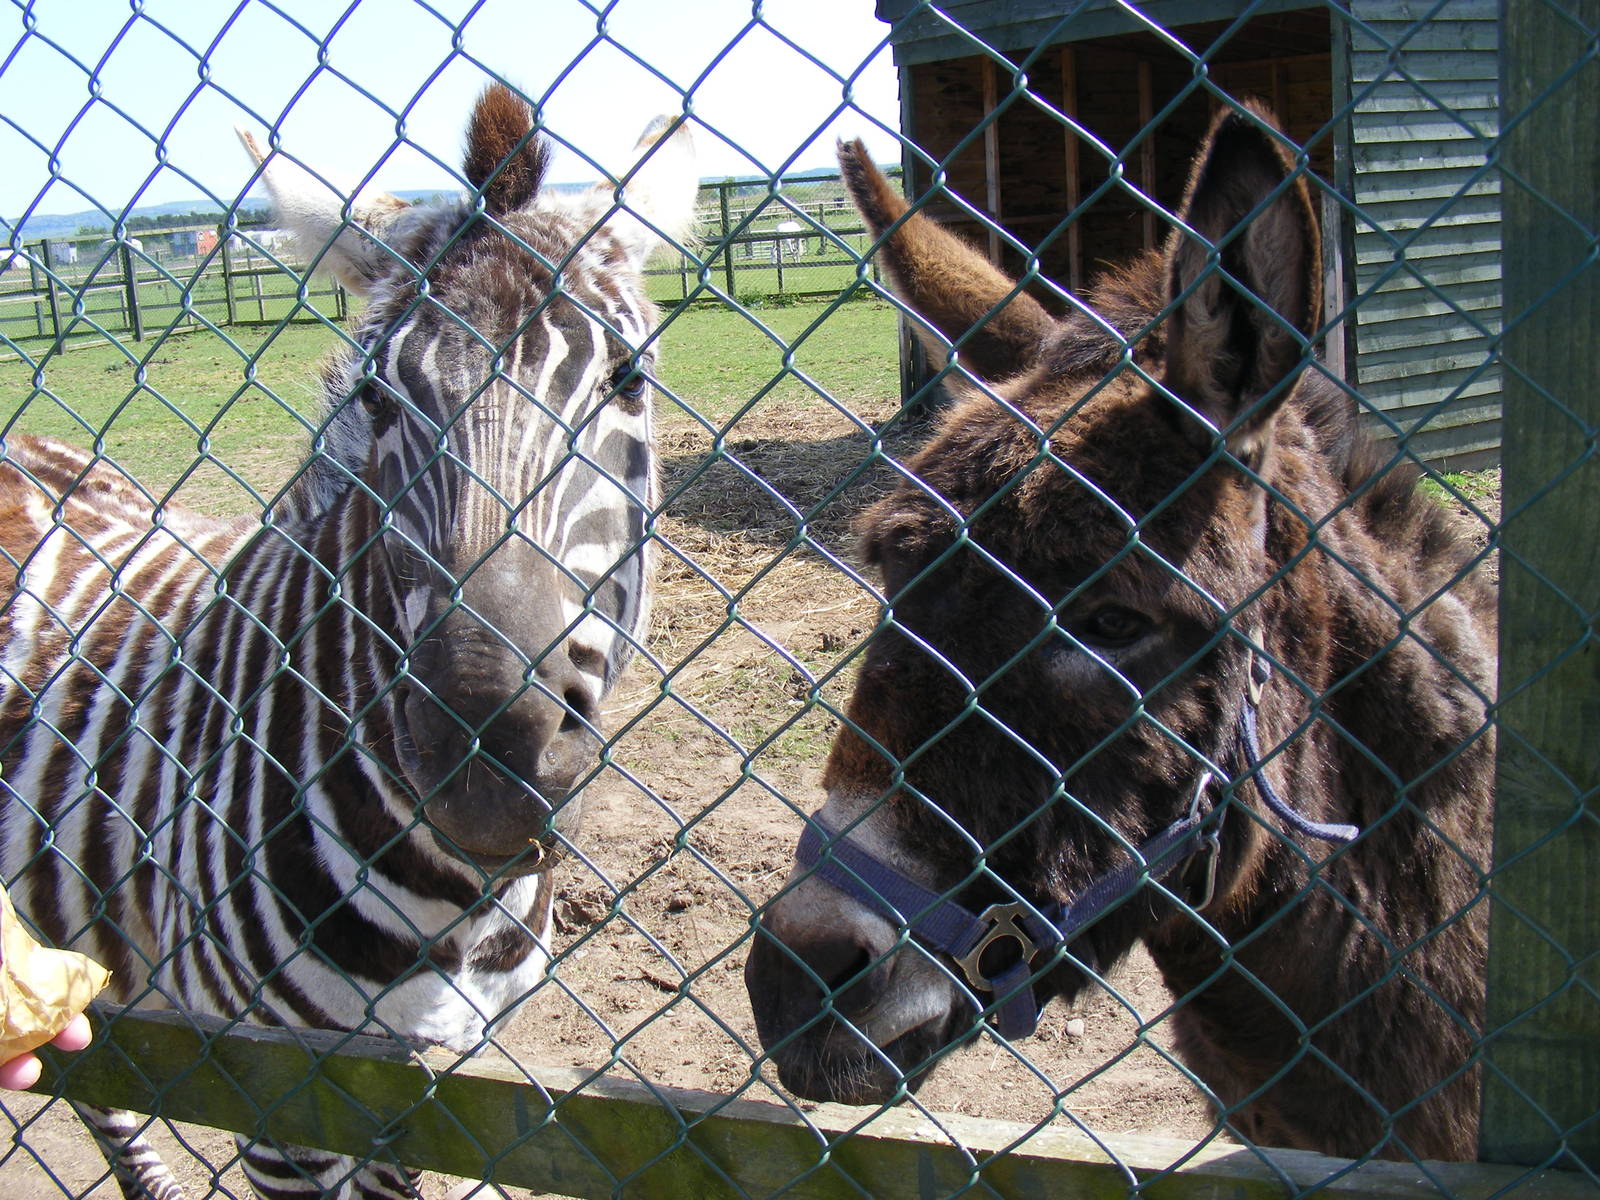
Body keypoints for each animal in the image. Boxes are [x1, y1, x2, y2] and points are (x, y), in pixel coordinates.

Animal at [0, 84, 696, 1199]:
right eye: (376, 396)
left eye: (629, 381)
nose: (485, 761)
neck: (456, 909)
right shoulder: (278, 1095)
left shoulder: (451, 1070)